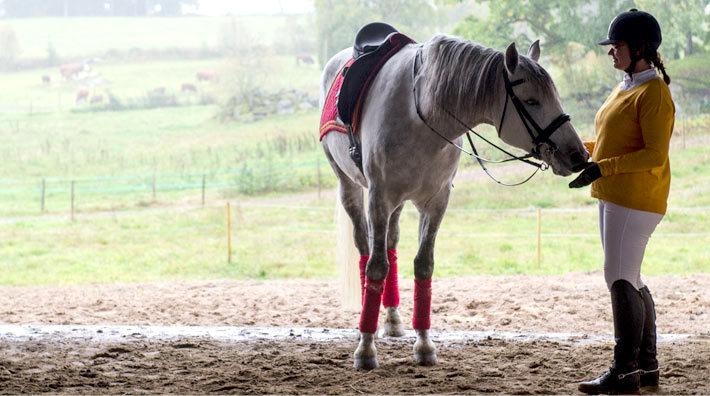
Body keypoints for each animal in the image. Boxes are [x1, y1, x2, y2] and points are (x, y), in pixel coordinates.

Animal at [322, 32, 588, 370]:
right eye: (531, 101)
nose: (578, 155)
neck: (420, 113)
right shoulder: (379, 198)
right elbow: (376, 268)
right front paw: (366, 349)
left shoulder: (436, 202)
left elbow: (423, 265)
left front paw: (424, 344)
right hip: (352, 190)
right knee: (366, 249)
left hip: (396, 205)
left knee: (391, 244)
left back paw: (393, 320)